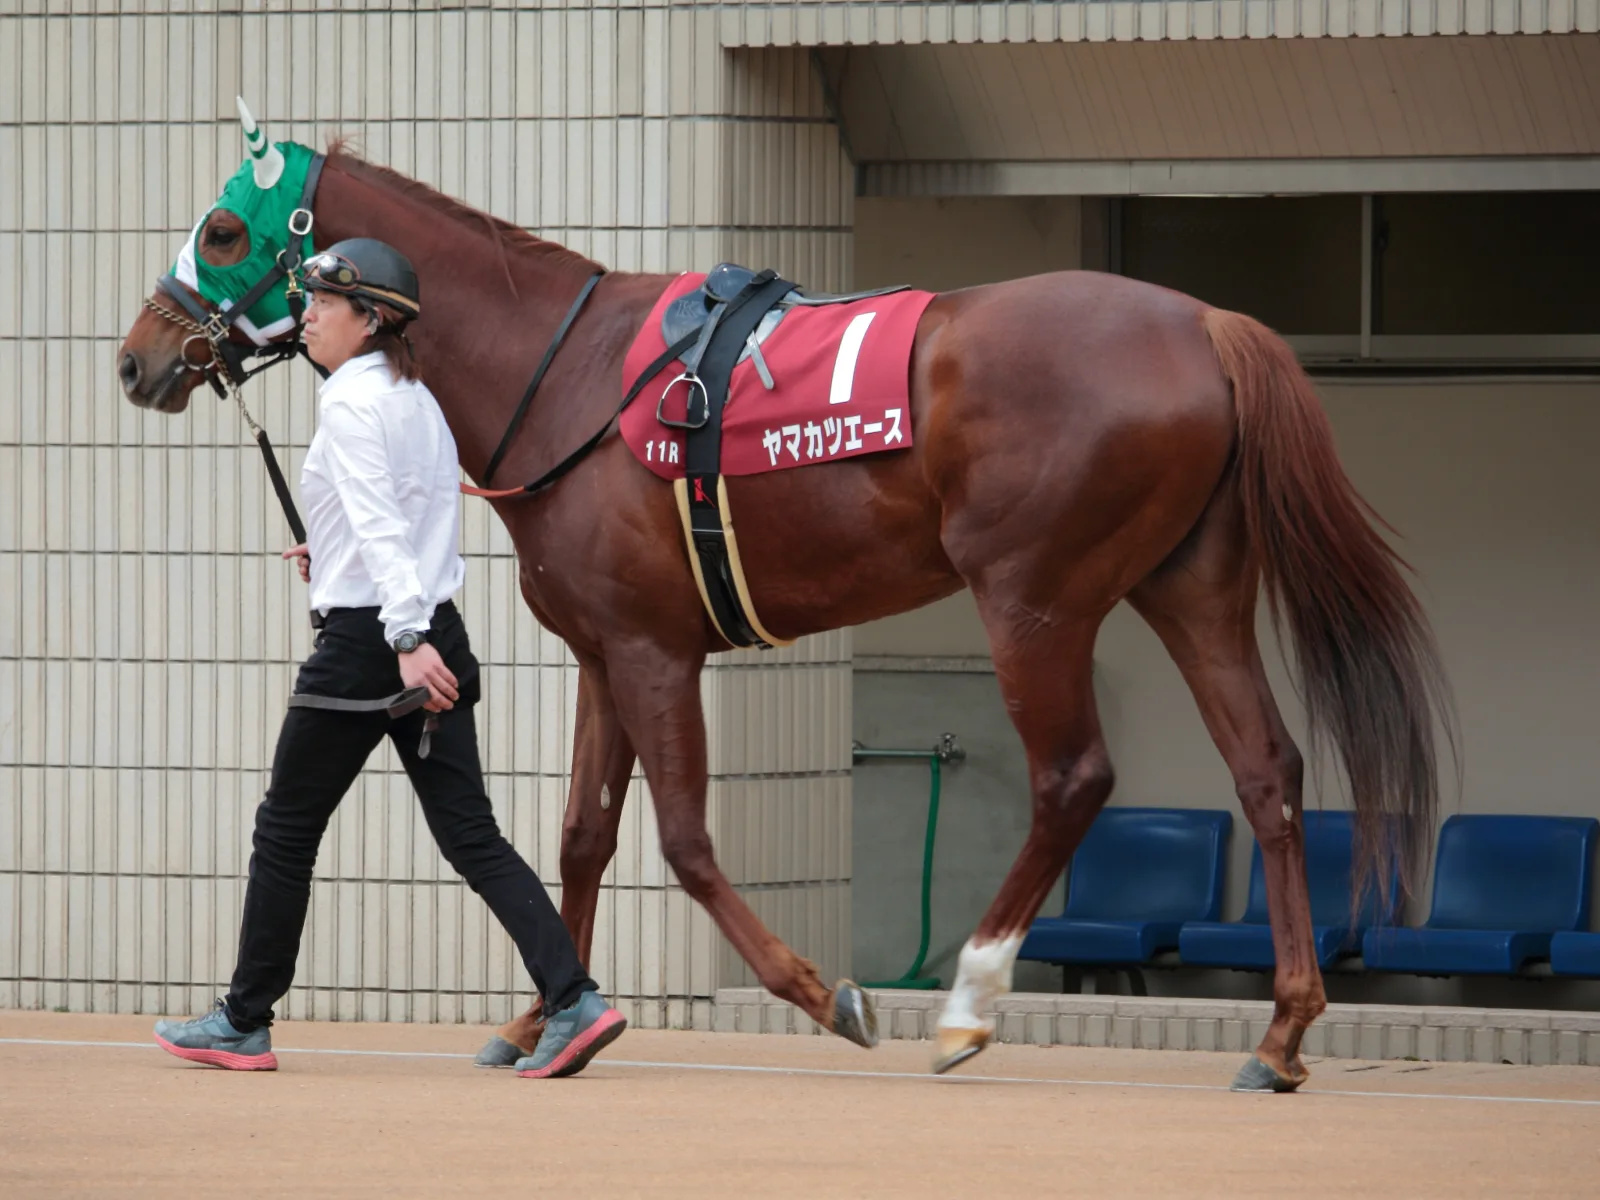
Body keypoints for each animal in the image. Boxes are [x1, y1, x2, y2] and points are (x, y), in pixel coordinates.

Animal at [117, 112, 1454, 1092]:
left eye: (224, 228)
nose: (137, 357)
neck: (571, 376)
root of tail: (1205, 323)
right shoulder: (603, 652)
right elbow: (581, 836)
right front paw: (542, 1015)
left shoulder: (656, 652)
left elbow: (685, 841)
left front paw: (823, 993)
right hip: (1192, 587)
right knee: (1267, 770)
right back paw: (1280, 1033)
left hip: (1033, 597)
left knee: (1073, 776)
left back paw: (969, 998)